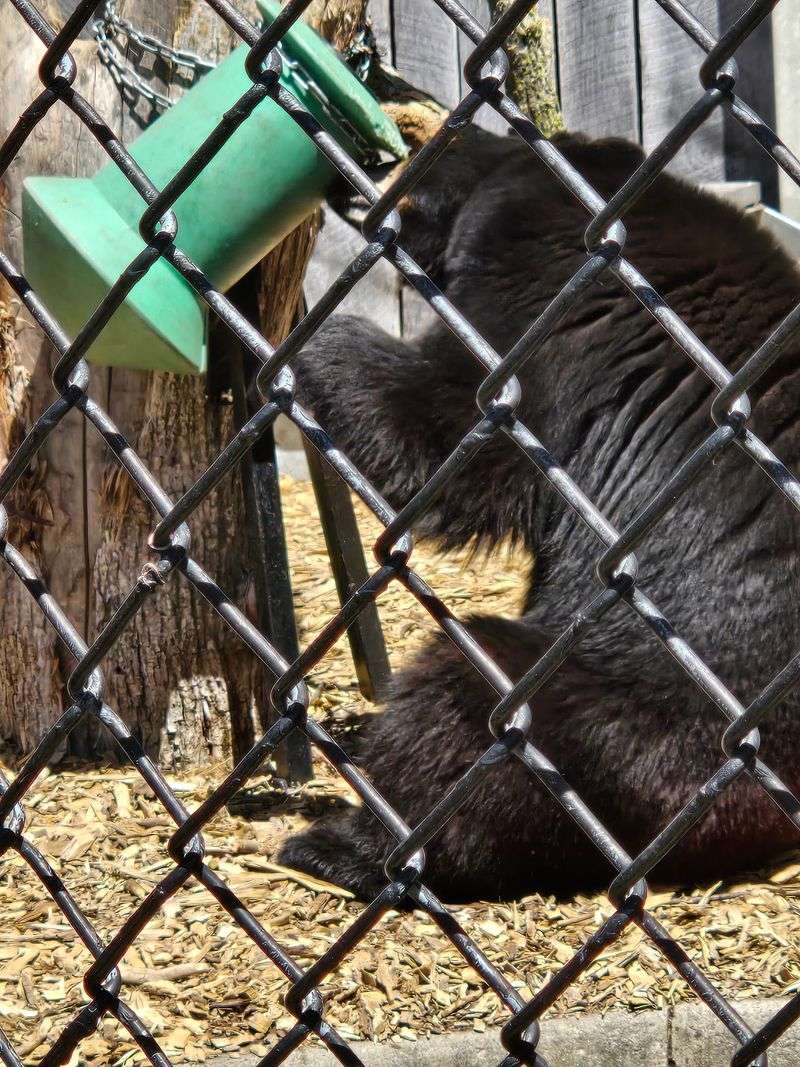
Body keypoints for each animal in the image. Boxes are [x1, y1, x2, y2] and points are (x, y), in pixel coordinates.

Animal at [278, 127, 800, 903]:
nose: (348, 183)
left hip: (622, 727)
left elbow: (456, 434)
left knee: (465, 704)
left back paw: (346, 844)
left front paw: (316, 338)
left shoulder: (544, 305)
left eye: (415, 170)